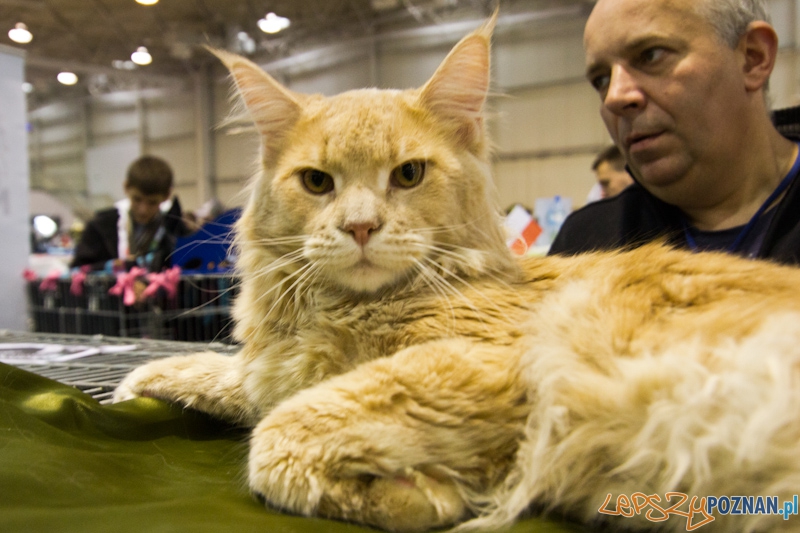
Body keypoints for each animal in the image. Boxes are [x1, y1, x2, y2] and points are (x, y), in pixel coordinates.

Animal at [114, 16, 800, 532]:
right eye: (317, 182)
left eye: (408, 175)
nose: (360, 227)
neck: (341, 312)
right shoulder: (279, 367)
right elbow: (235, 378)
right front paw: (137, 383)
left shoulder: (492, 362)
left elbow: (277, 436)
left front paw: (422, 494)